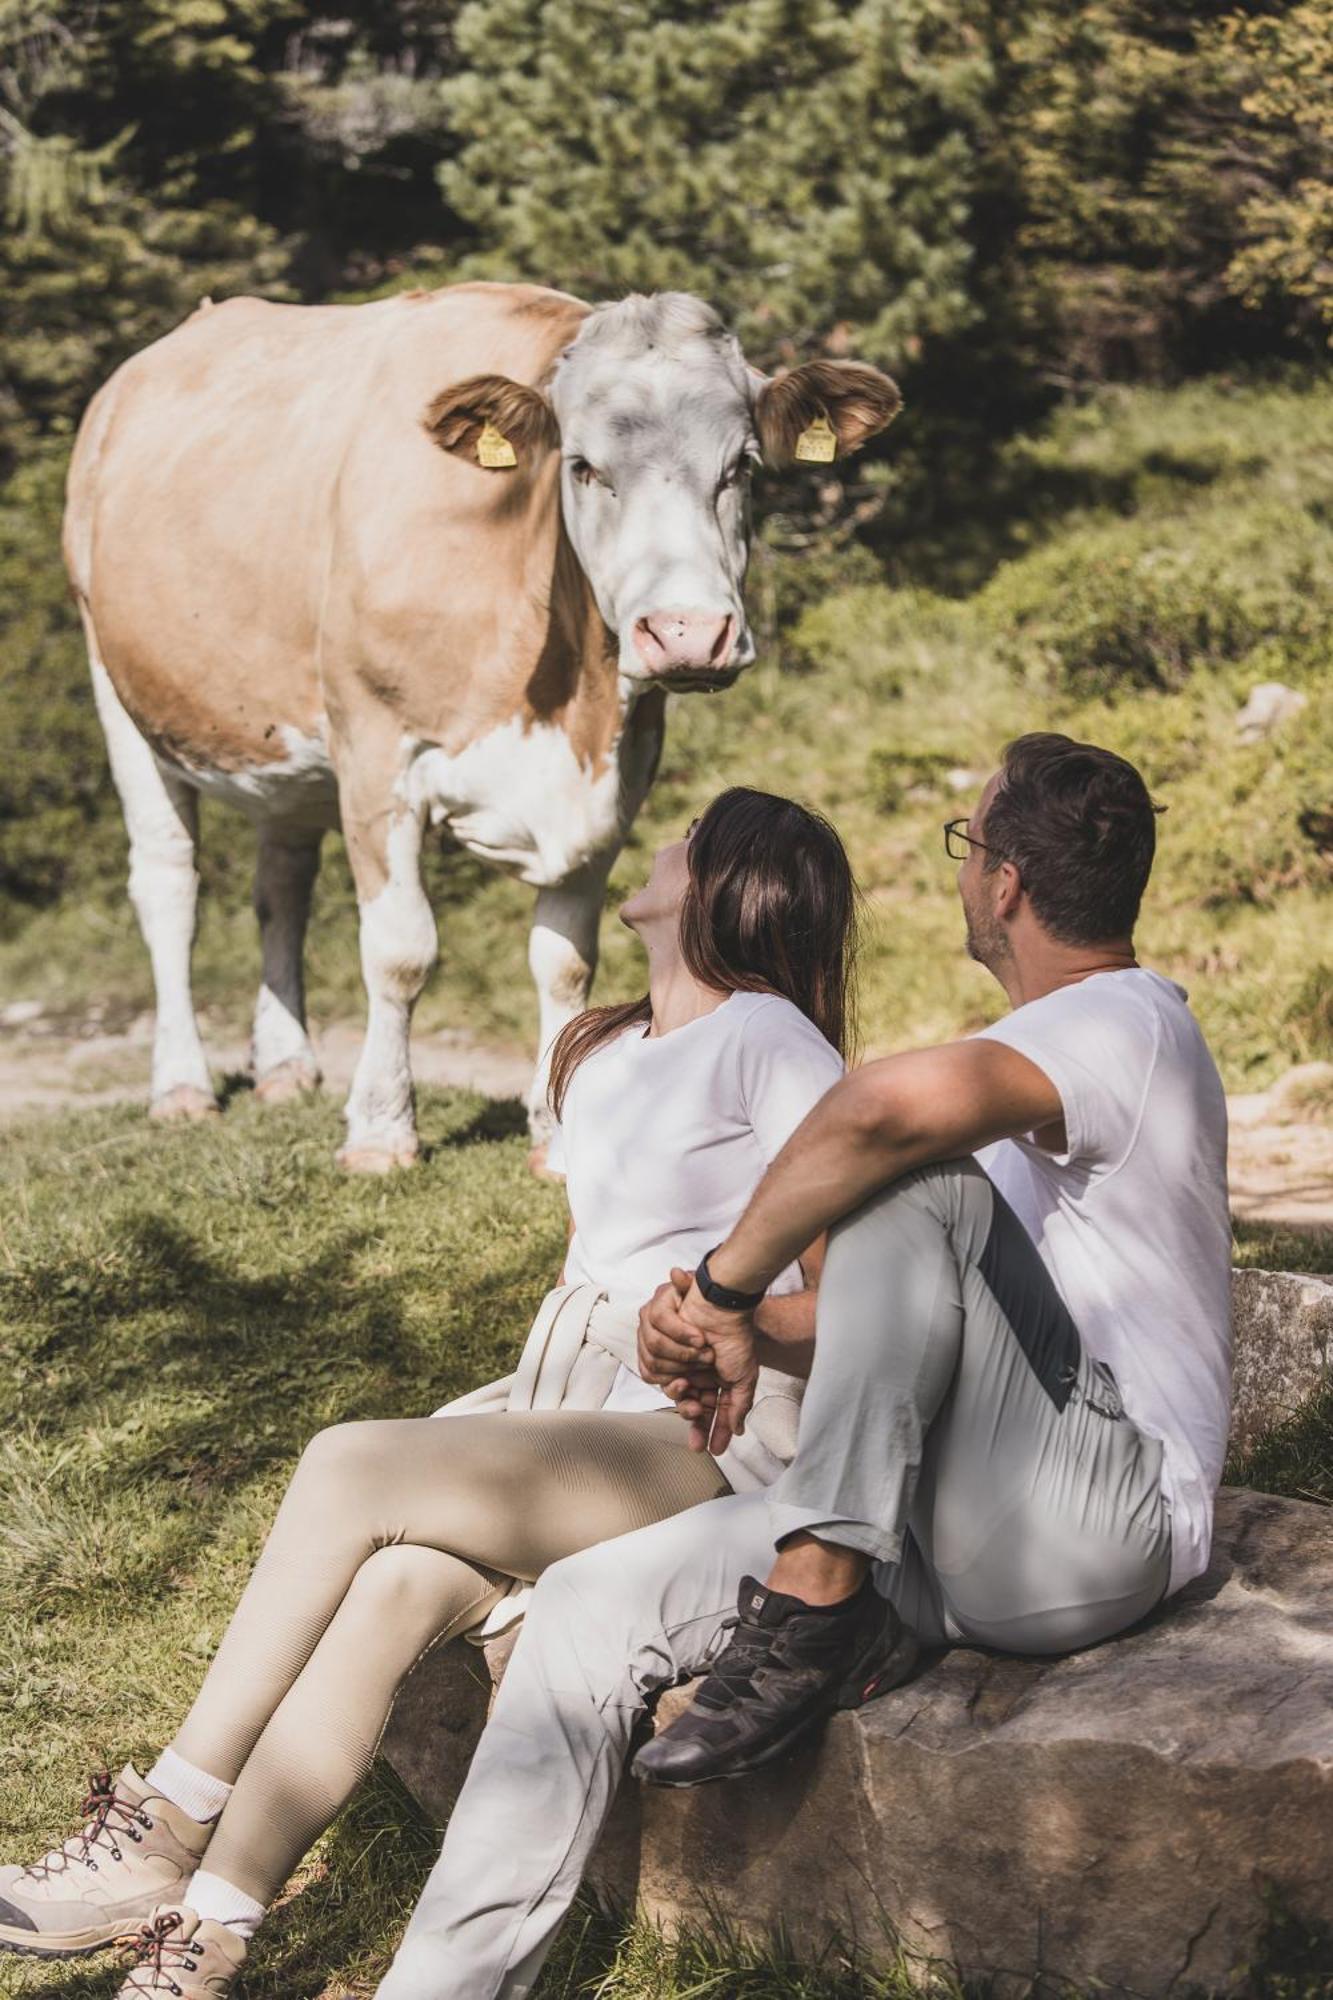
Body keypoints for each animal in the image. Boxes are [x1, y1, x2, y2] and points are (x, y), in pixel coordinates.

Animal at [59, 276, 892, 1168]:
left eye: (741, 466)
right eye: (582, 466)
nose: (686, 632)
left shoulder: (615, 772)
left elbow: (565, 958)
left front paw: (558, 1137)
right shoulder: (376, 751)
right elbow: (399, 952)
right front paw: (381, 1130)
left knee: (280, 882)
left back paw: (285, 1067)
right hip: (118, 688)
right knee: (168, 887)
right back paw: (180, 1086)